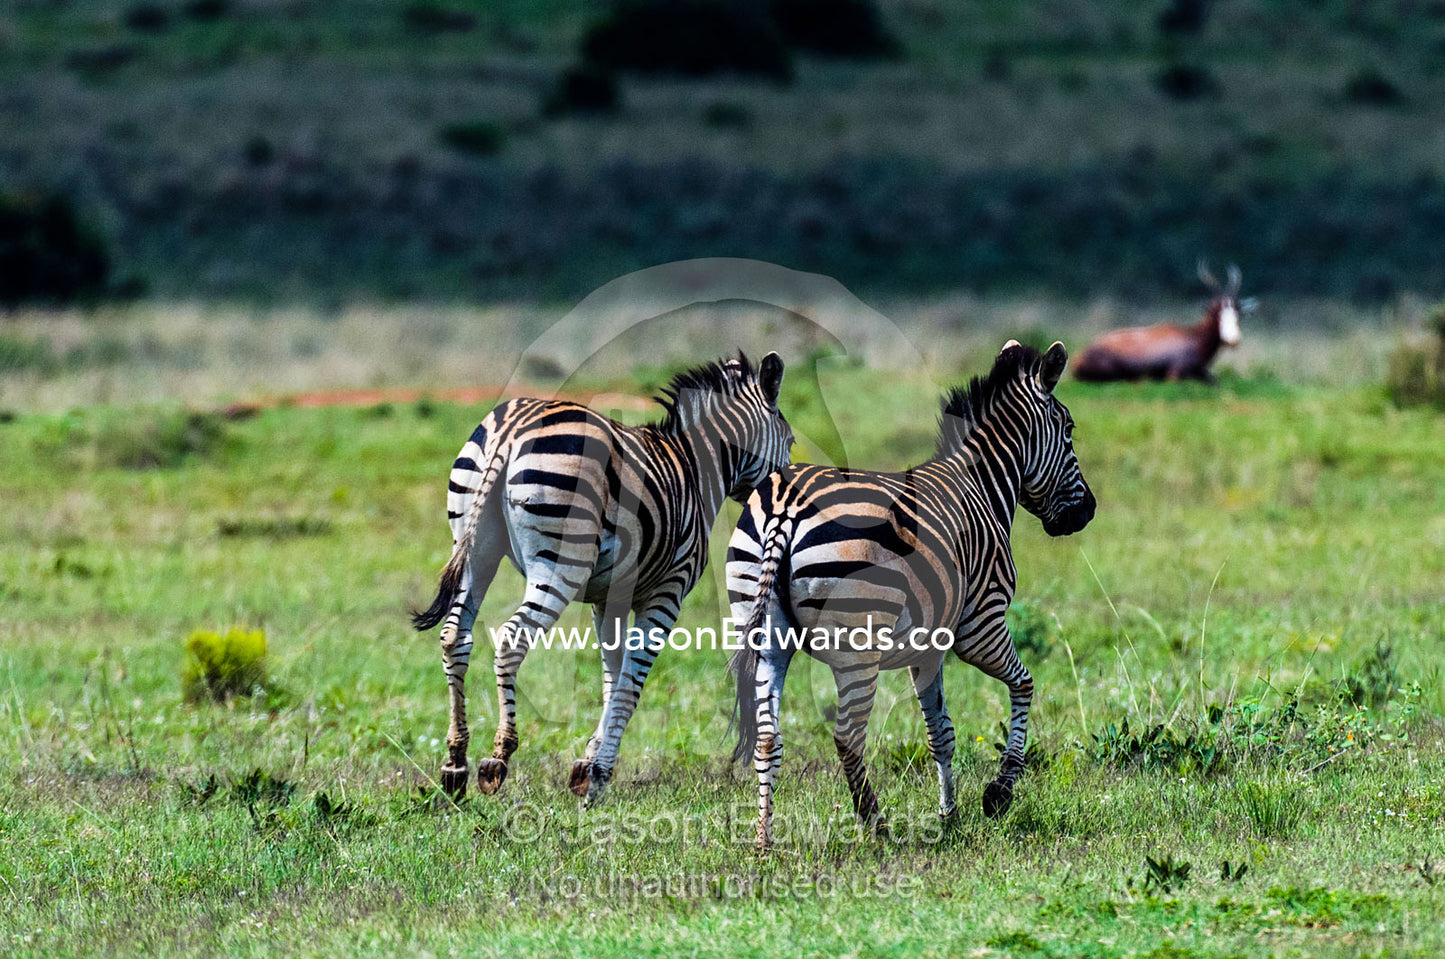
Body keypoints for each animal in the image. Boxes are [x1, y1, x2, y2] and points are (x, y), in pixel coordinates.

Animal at [413, 351, 793, 805]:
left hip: (474, 547)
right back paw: (498, 757)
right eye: (790, 441)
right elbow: (630, 685)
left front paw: (589, 762)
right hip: (561, 563)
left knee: (455, 636)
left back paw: (456, 763)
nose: (785, 492)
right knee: (510, 638)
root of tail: (514, 425)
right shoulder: (667, 592)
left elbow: (613, 677)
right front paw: (598, 774)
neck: (698, 468)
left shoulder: (608, 597)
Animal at [726, 340, 1094, 850]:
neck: (983, 486)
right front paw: (998, 793)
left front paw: (950, 816)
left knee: (767, 736)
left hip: (763, 631)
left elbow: (941, 731)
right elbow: (1024, 684)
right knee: (847, 736)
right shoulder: (981, 624)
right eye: (1070, 431)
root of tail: (786, 506)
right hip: (858, 646)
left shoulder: (929, 647)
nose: (1088, 513)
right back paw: (875, 825)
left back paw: (764, 840)